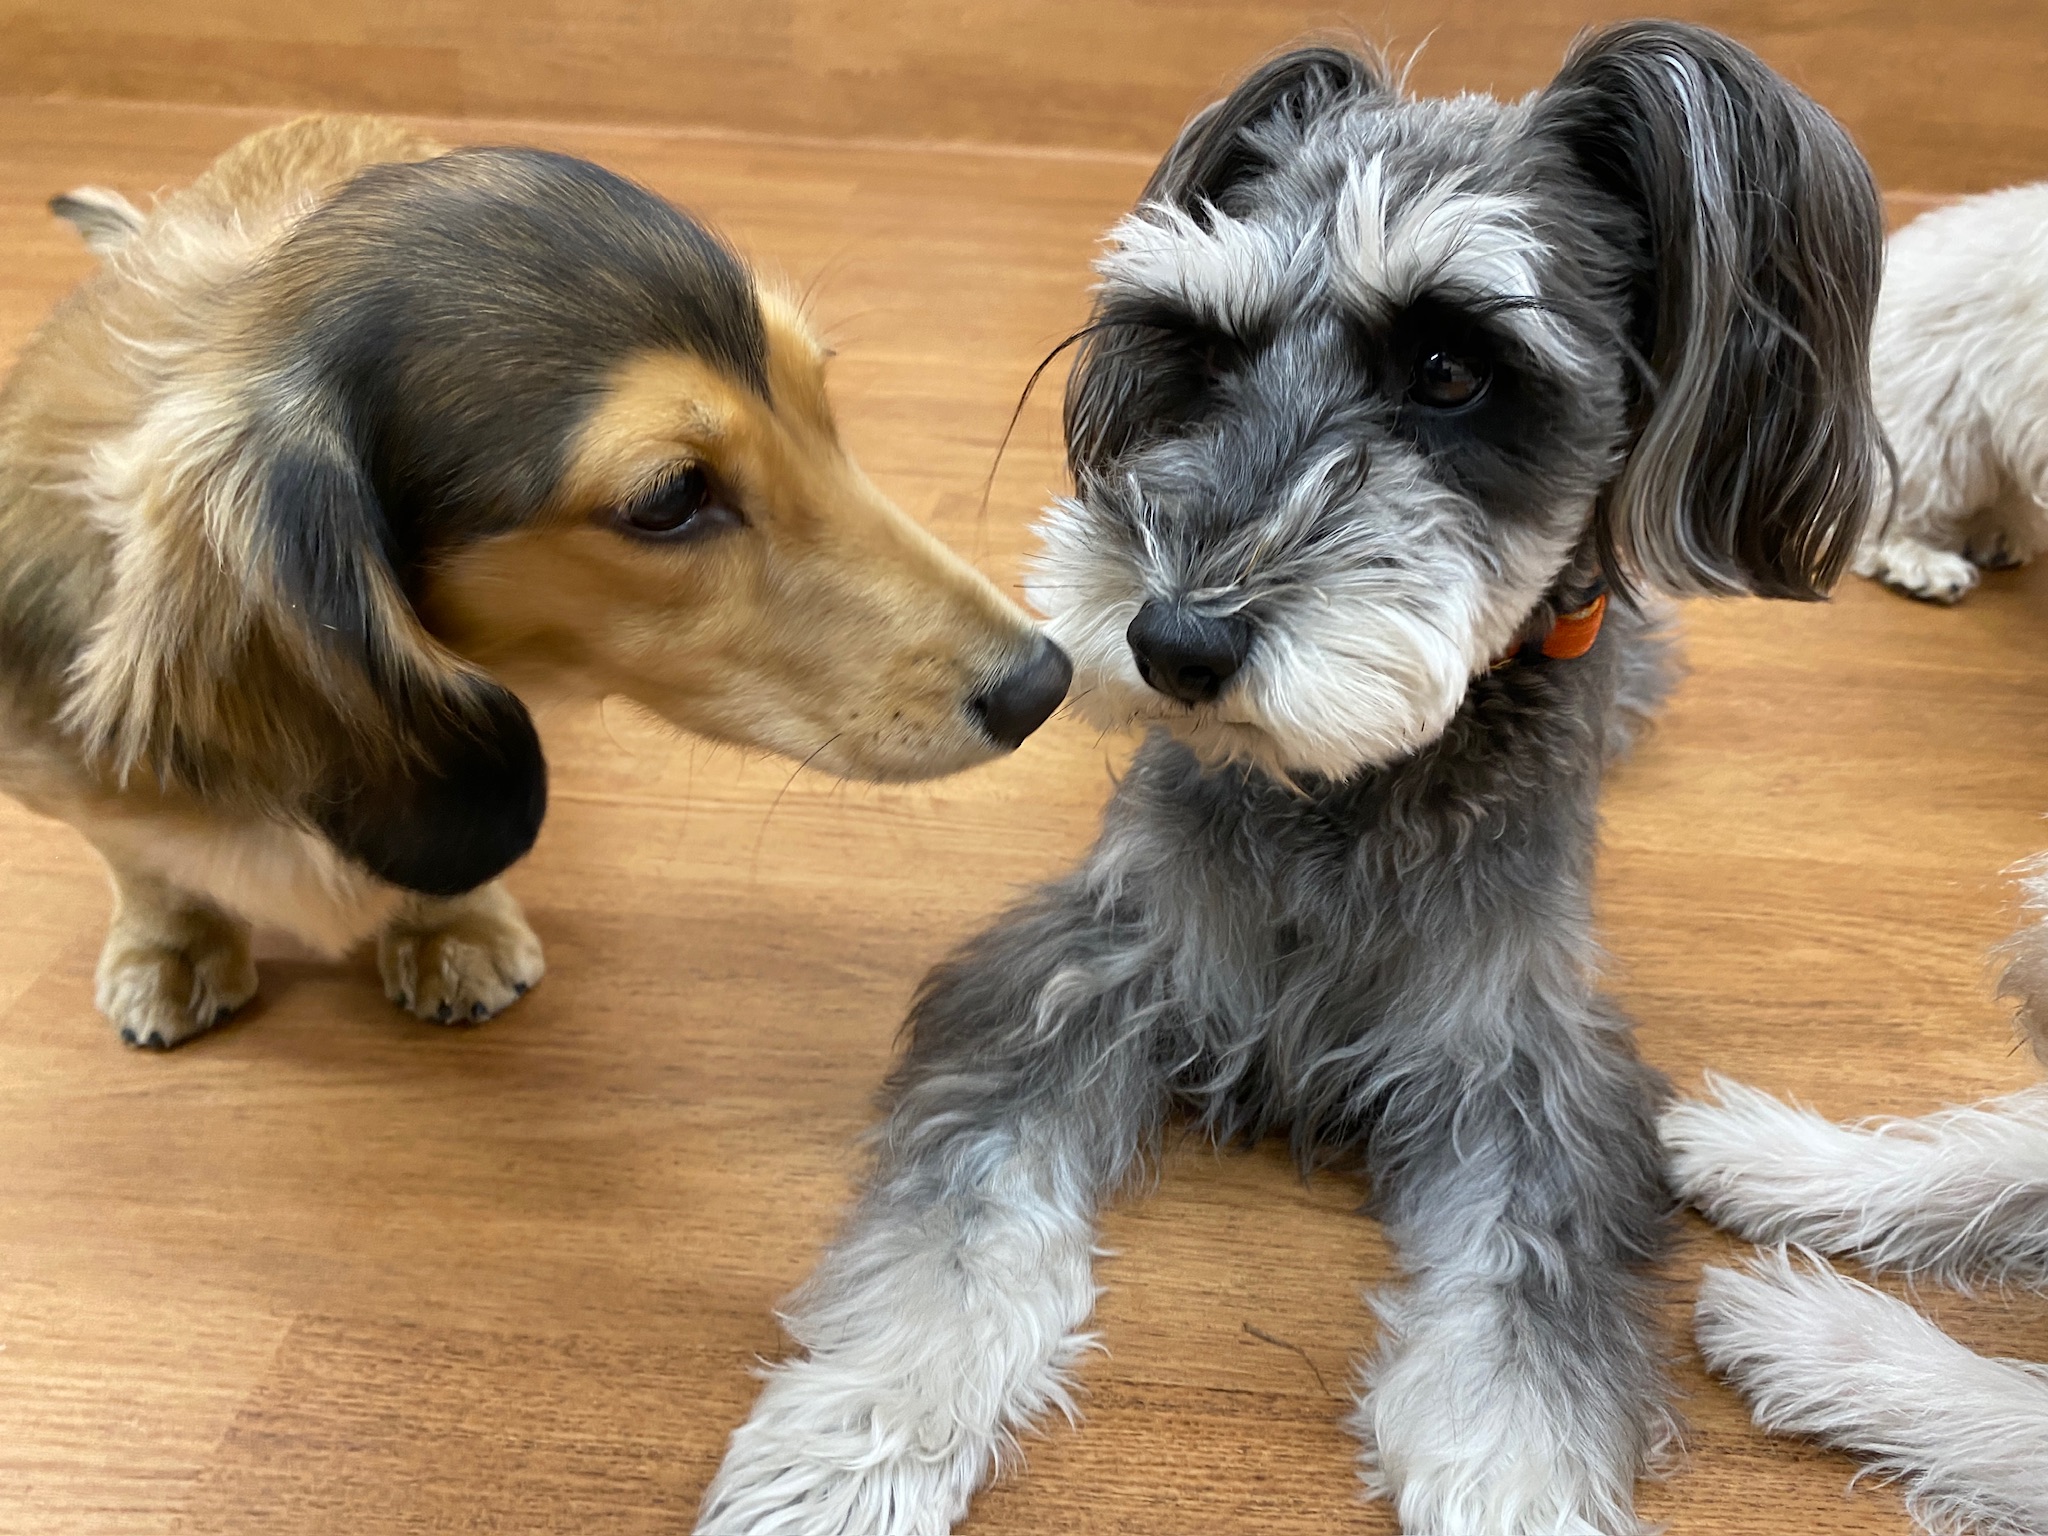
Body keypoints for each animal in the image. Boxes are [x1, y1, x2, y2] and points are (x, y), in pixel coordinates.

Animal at [0, 116, 1070, 1049]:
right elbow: (144, 862)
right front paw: (171, 943)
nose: (1044, 683)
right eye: (668, 496)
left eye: (819, 399)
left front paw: (452, 927)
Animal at [694, 23, 1884, 1536]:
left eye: (1451, 368)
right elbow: (957, 1225)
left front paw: (1514, 1480)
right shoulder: (1077, 976)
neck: (1344, 790)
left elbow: (1523, 1307)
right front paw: (848, 1442)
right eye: (1196, 351)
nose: (1171, 643)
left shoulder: (1522, 1071)